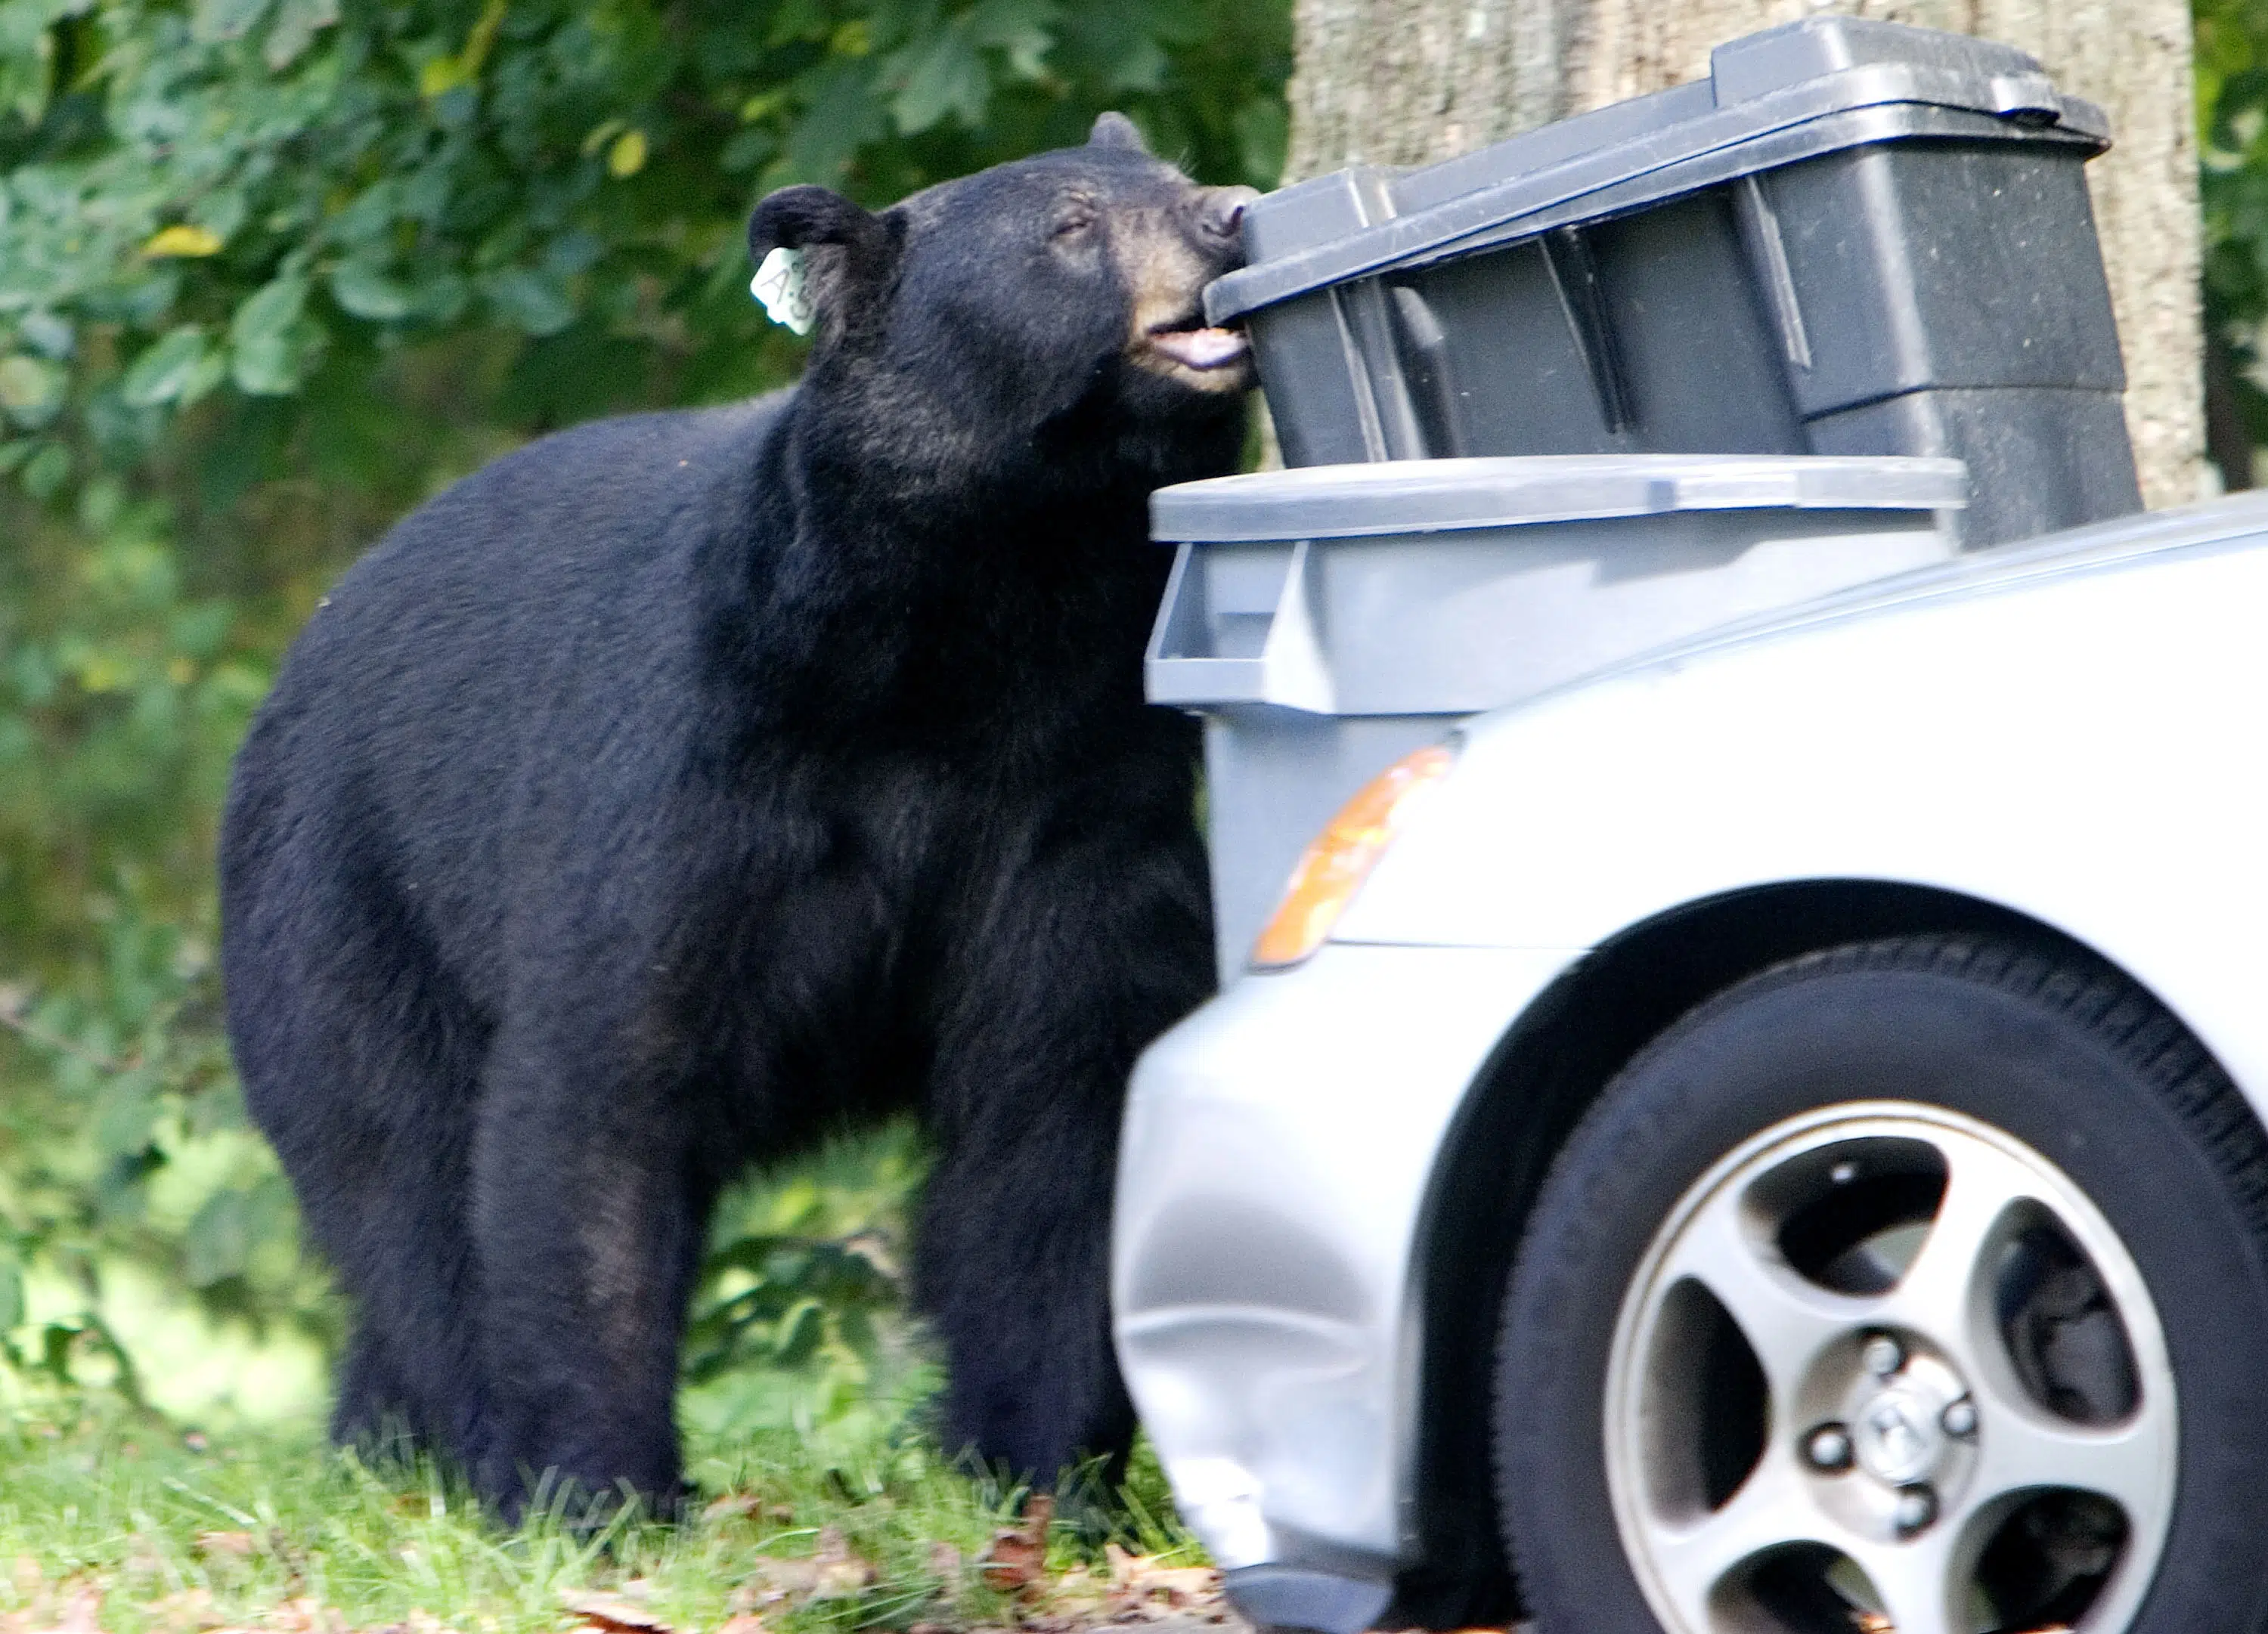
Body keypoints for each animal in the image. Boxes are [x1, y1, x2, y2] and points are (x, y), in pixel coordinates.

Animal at [218, 114, 1252, 1514]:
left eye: (1175, 177)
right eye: (1072, 223)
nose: (1231, 213)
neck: (970, 633)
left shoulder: (1076, 794)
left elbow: (1060, 1099)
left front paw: (1037, 1473)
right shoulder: (696, 768)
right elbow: (602, 1084)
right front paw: (596, 1490)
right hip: (346, 911)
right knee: (404, 1181)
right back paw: (453, 1440)